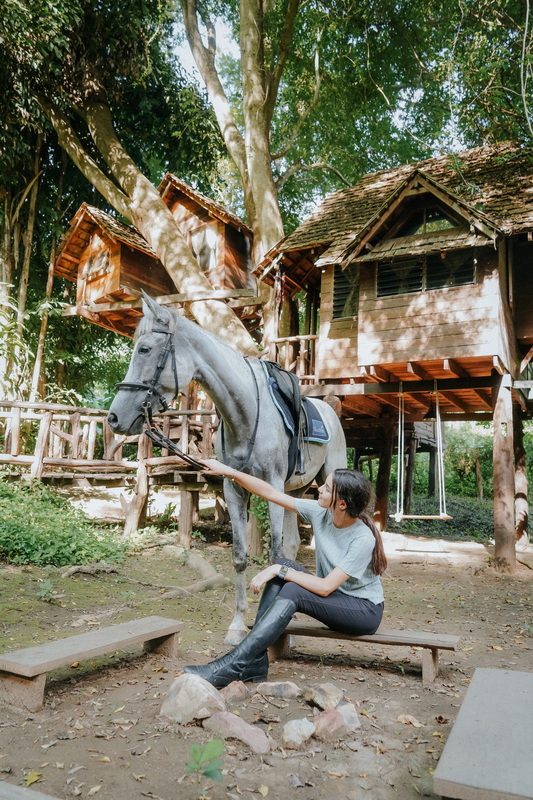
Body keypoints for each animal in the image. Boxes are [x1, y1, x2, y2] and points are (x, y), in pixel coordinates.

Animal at [107, 294, 347, 644]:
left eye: (145, 350)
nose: (114, 418)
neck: (245, 413)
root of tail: (330, 409)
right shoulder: (234, 488)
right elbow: (240, 556)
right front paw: (237, 624)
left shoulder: (273, 486)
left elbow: (273, 556)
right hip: (297, 491)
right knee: (292, 545)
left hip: (328, 479)